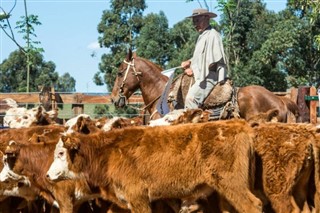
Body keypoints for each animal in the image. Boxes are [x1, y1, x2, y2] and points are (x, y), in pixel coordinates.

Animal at [47, 120, 262, 213]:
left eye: (61, 153)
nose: (47, 175)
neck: (109, 152)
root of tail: (239, 125)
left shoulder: (137, 197)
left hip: (233, 184)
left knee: (253, 205)